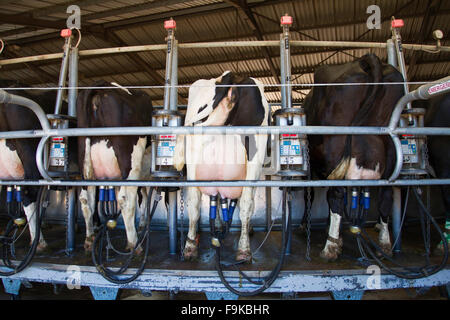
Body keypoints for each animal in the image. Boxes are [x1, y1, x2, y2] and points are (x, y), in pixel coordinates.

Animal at [77, 82, 153, 252]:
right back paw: (134, 244)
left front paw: (142, 224)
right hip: (130, 164)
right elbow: (142, 199)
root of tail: (101, 86)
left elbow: (143, 198)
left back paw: (89, 239)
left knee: (86, 200)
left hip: (85, 164)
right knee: (126, 200)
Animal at [174, 71, 268, 262]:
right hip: (254, 157)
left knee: (194, 203)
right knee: (246, 203)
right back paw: (244, 250)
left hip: (194, 157)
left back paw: (190, 246)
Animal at [306, 53, 404, 262]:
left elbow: (310, 196)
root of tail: (364, 60)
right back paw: (384, 245)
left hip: (335, 145)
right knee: (385, 196)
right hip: (391, 149)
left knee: (336, 195)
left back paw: (330, 248)